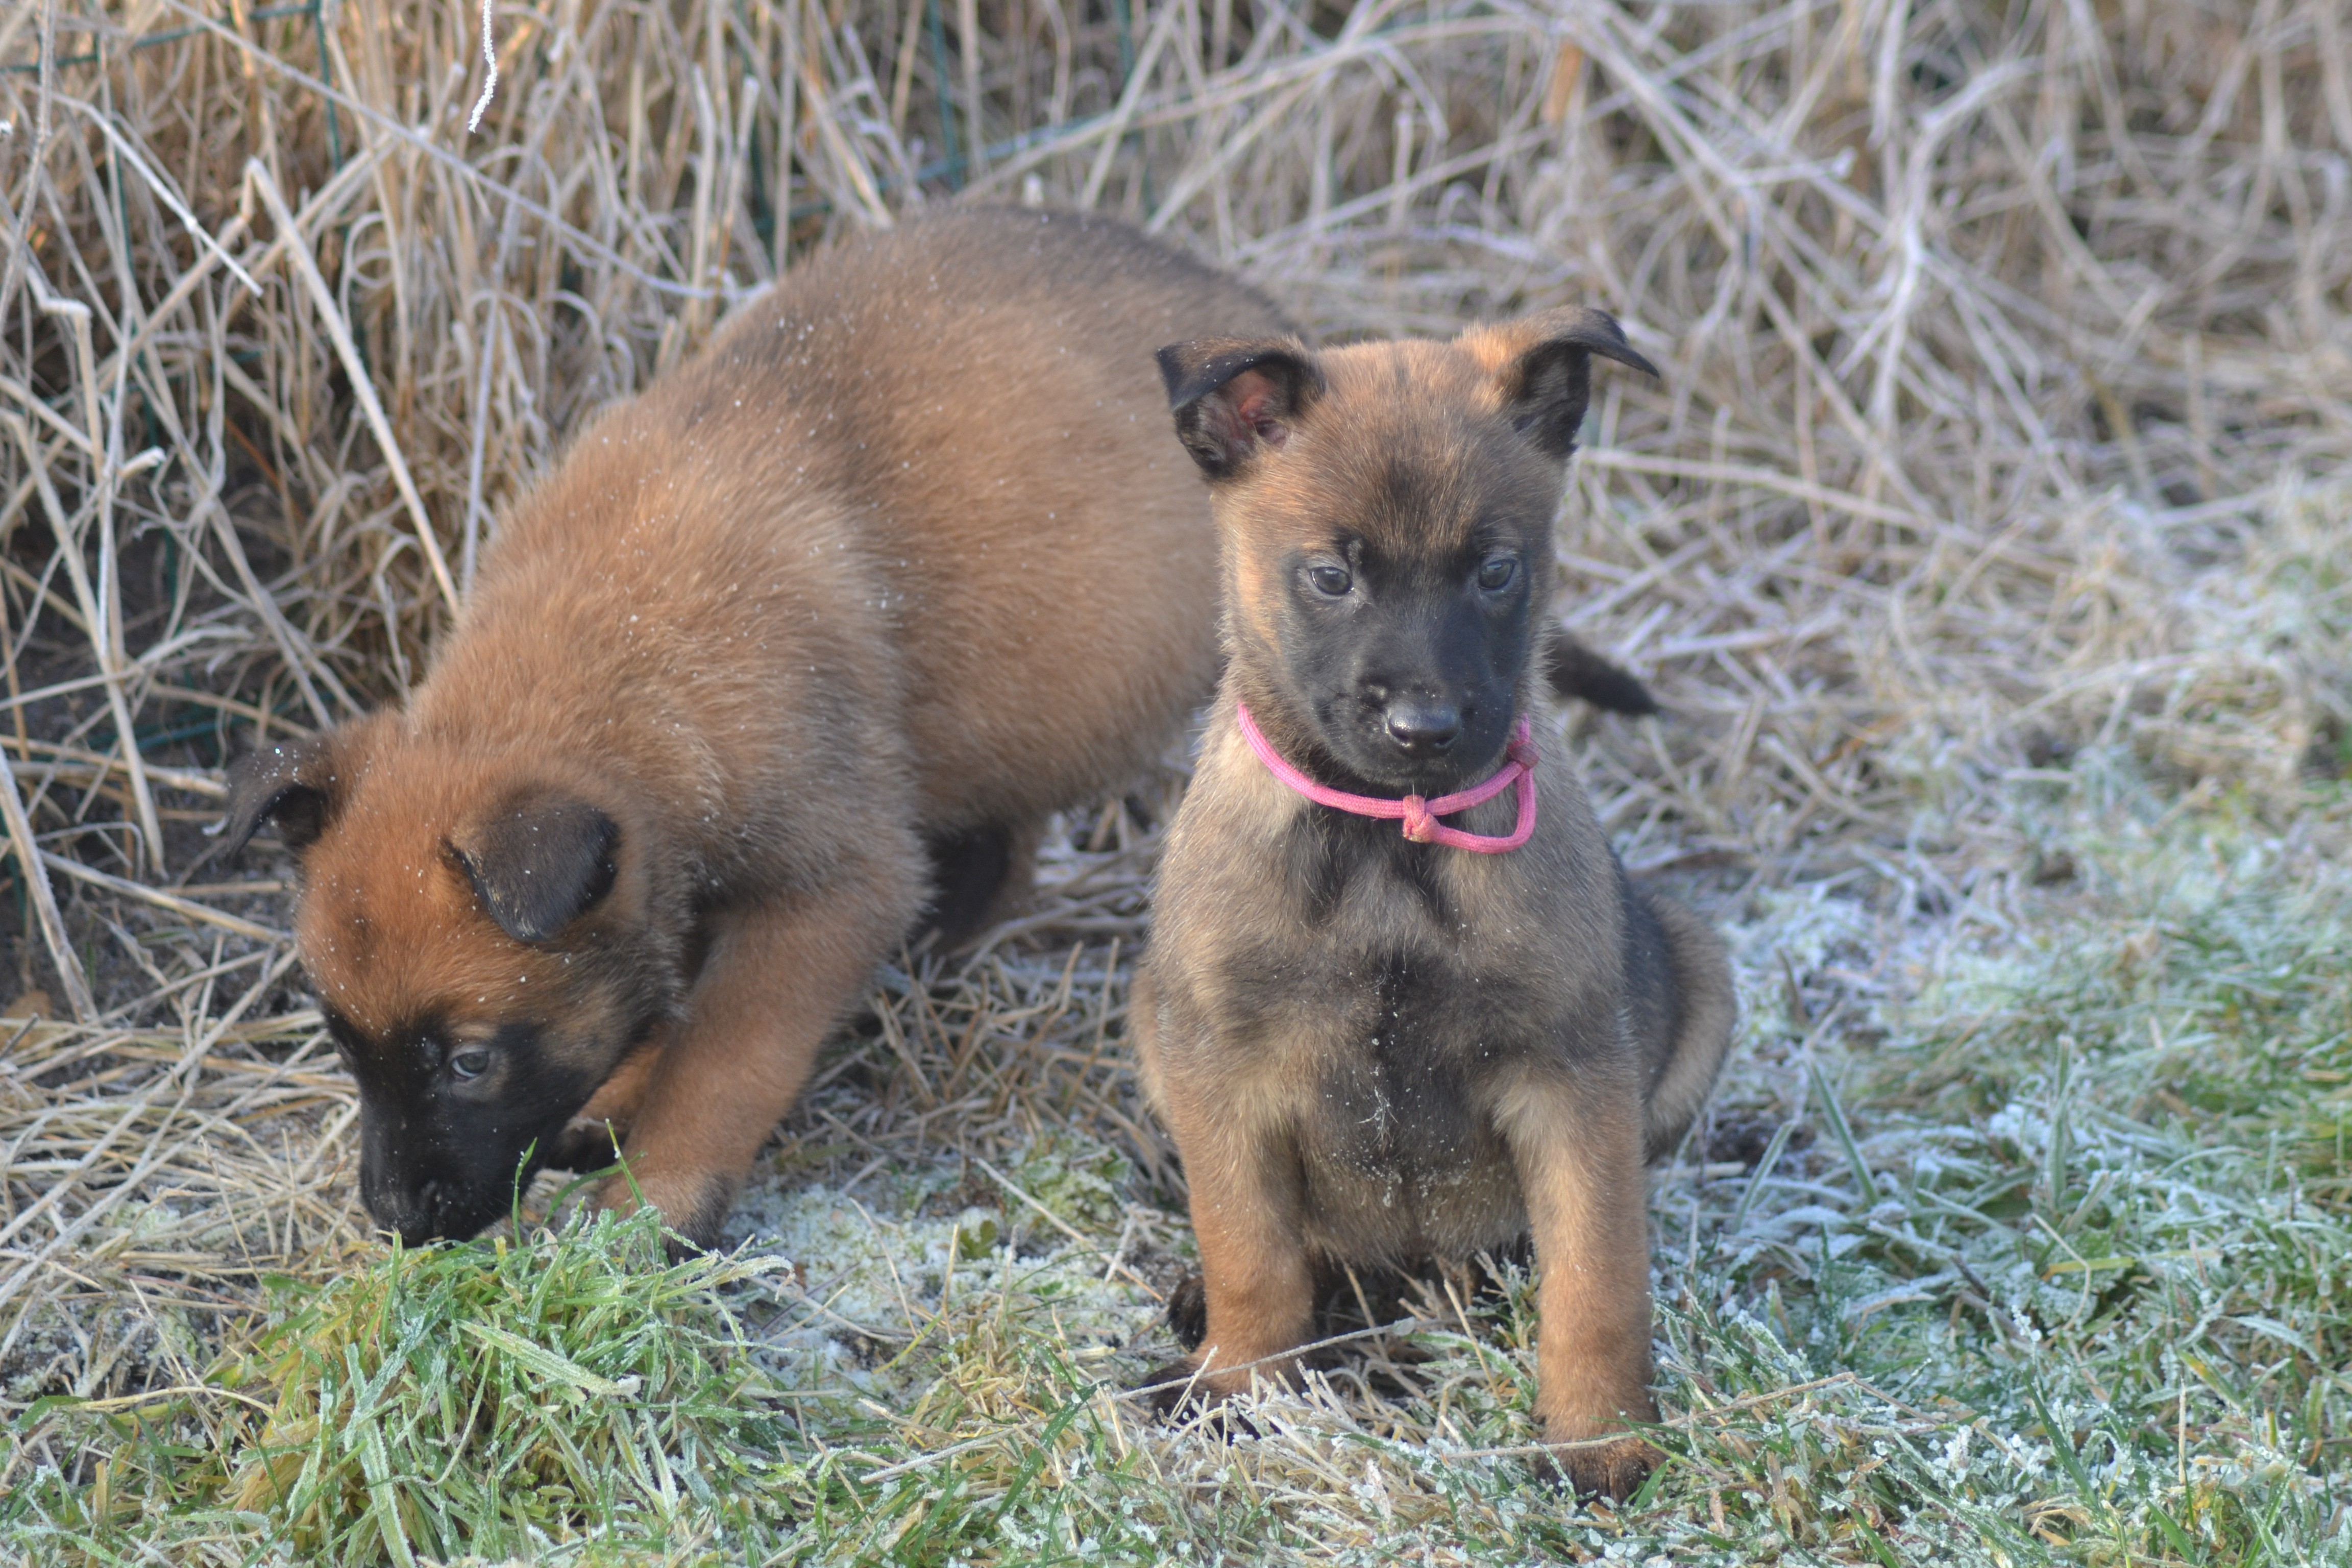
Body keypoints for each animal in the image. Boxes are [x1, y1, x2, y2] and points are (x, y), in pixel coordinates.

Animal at [218, 215, 1289, 1260]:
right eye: (341, 1041)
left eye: (471, 1061)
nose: (394, 1219)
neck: (609, 648)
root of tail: (1248, 303)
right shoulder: (669, 859)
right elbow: (669, 993)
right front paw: (617, 1096)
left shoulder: (826, 890)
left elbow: (725, 1053)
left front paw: (655, 1197)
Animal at [1129, 305, 1740, 1495]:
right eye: (1330, 577)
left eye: (1496, 571)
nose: (1425, 728)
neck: (1386, 846)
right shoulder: (1219, 1069)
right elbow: (1250, 1248)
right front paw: (1240, 1388)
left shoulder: (1572, 1079)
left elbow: (1598, 1281)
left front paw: (1599, 1438)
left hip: (1700, 974)